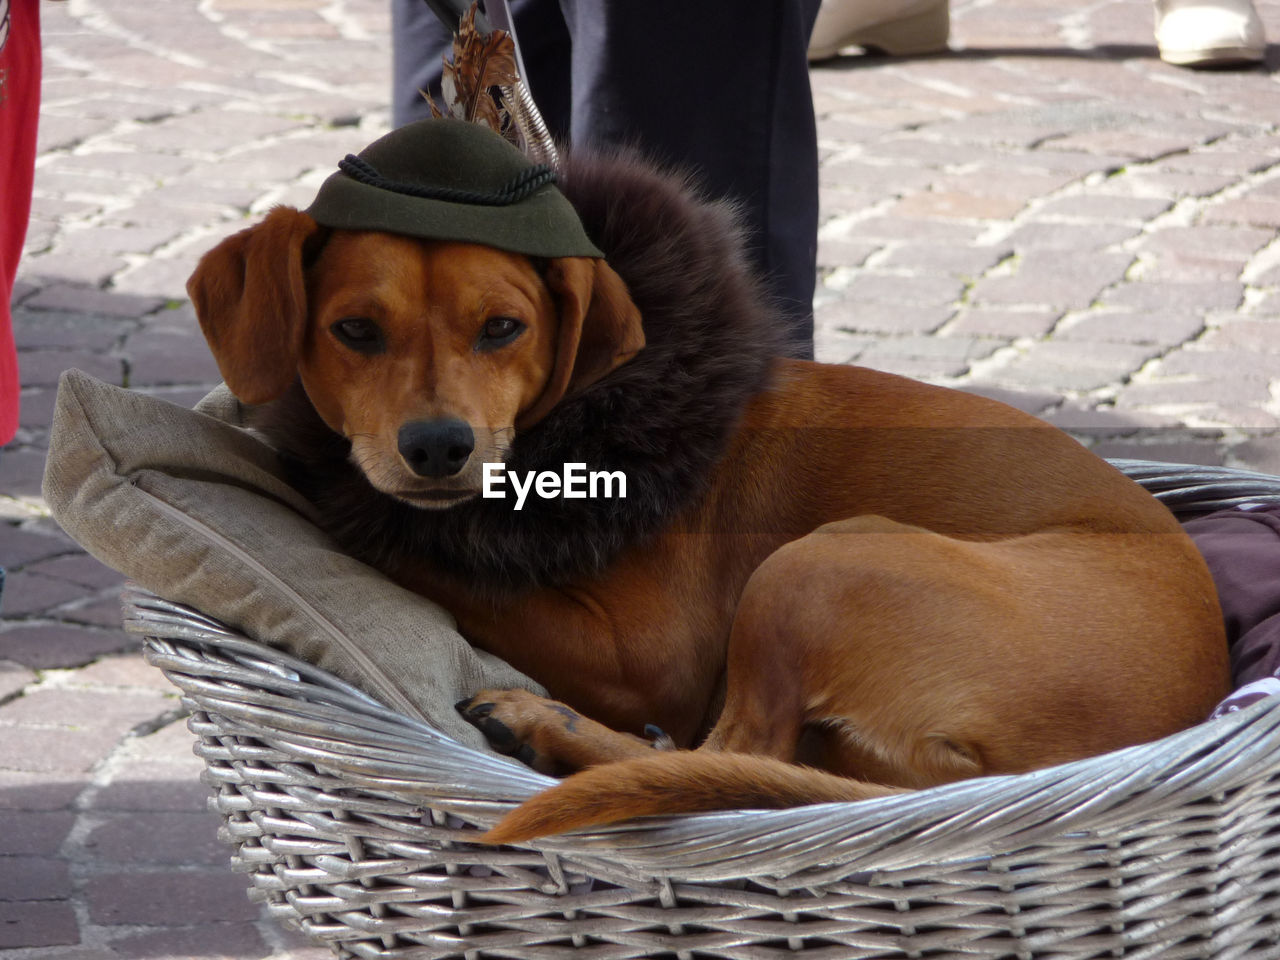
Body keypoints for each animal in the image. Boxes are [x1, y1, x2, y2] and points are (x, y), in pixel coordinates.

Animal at [189, 148, 1228, 839]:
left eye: (503, 328)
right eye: (355, 330)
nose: (439, 446)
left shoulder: (653, 656)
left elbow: (436, 561)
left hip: (819, 564)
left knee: (738, 747)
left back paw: (548, 727)